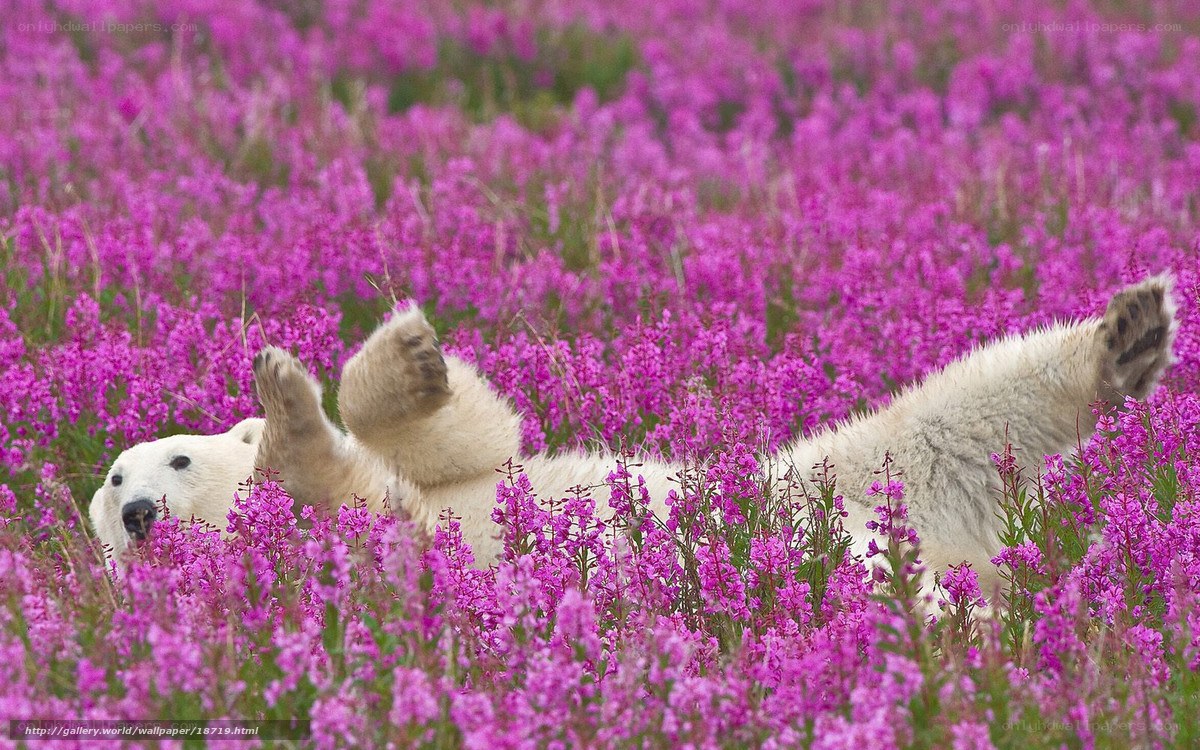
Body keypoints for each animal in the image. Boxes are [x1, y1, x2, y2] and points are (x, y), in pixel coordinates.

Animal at [90, 276, 1177, 599]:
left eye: (171, 456)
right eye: (111, 483)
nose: (138, 511)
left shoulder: (450, 479)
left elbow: (472, 440)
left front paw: (387, 359)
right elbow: (343, 492)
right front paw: (288, 408)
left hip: (833, 475)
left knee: (961, 409)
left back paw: (1128, 333)